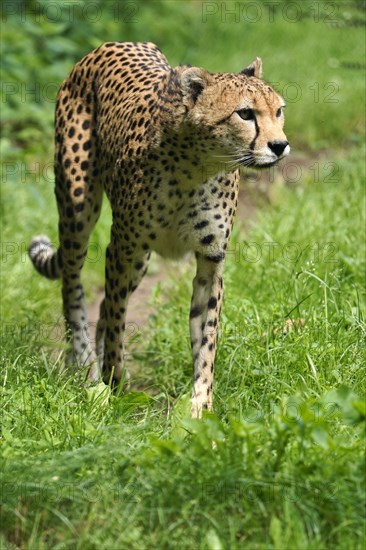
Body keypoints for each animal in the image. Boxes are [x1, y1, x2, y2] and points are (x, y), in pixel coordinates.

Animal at [28, 42, 288, 418]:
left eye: (279, 111)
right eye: (245, 114)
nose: (280, 145)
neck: (197, 167)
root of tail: (111, 45)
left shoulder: (210, 260)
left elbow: (206, 335)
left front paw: (201, 404)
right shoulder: (122, 249)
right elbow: (119, 324)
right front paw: (115, 390)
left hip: (140, 262)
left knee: (102, 307)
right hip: (79, 211)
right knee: (74, 287)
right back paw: (85, 365)